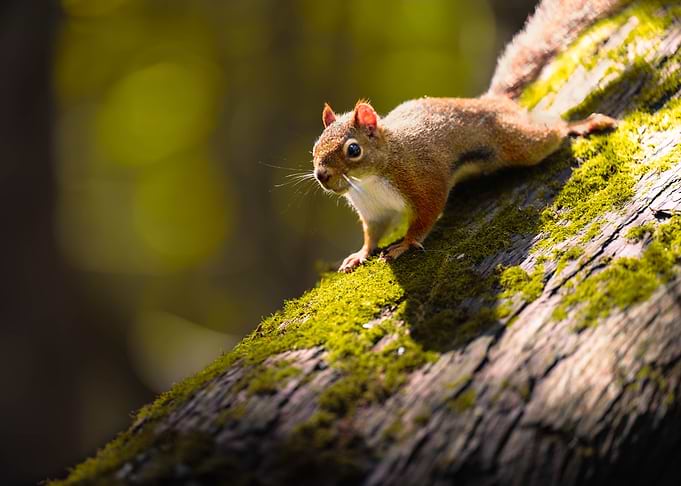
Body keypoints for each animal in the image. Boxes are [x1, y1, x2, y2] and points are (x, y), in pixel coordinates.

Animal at [312, 0, 624, 273]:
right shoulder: (373, 212)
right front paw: (359, 254)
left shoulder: (422, 180)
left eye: (353, 150)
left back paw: (581, 124)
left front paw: (405, 244)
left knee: (552, 131)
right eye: (314, 148)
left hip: (517, 142)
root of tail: (495, 102)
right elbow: (371, 235)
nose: (321, 175)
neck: (370, 181)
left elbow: (426, 215)